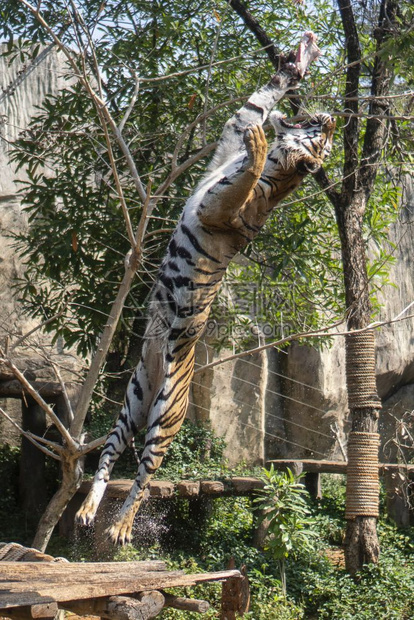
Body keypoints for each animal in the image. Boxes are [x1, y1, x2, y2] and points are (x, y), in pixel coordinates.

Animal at [77, 31, 336, 544]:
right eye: (325, 136)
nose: (334, 119)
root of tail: (161, 366)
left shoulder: (224, 207)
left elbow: (250, 173)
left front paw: (262, 149)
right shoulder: (231, 135)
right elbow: (256, 106)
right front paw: (298, 61)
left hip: (164, 418)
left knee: (144, 476)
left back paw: (120, 529)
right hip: (132, 400)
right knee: (109, 457)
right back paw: (87, 510)